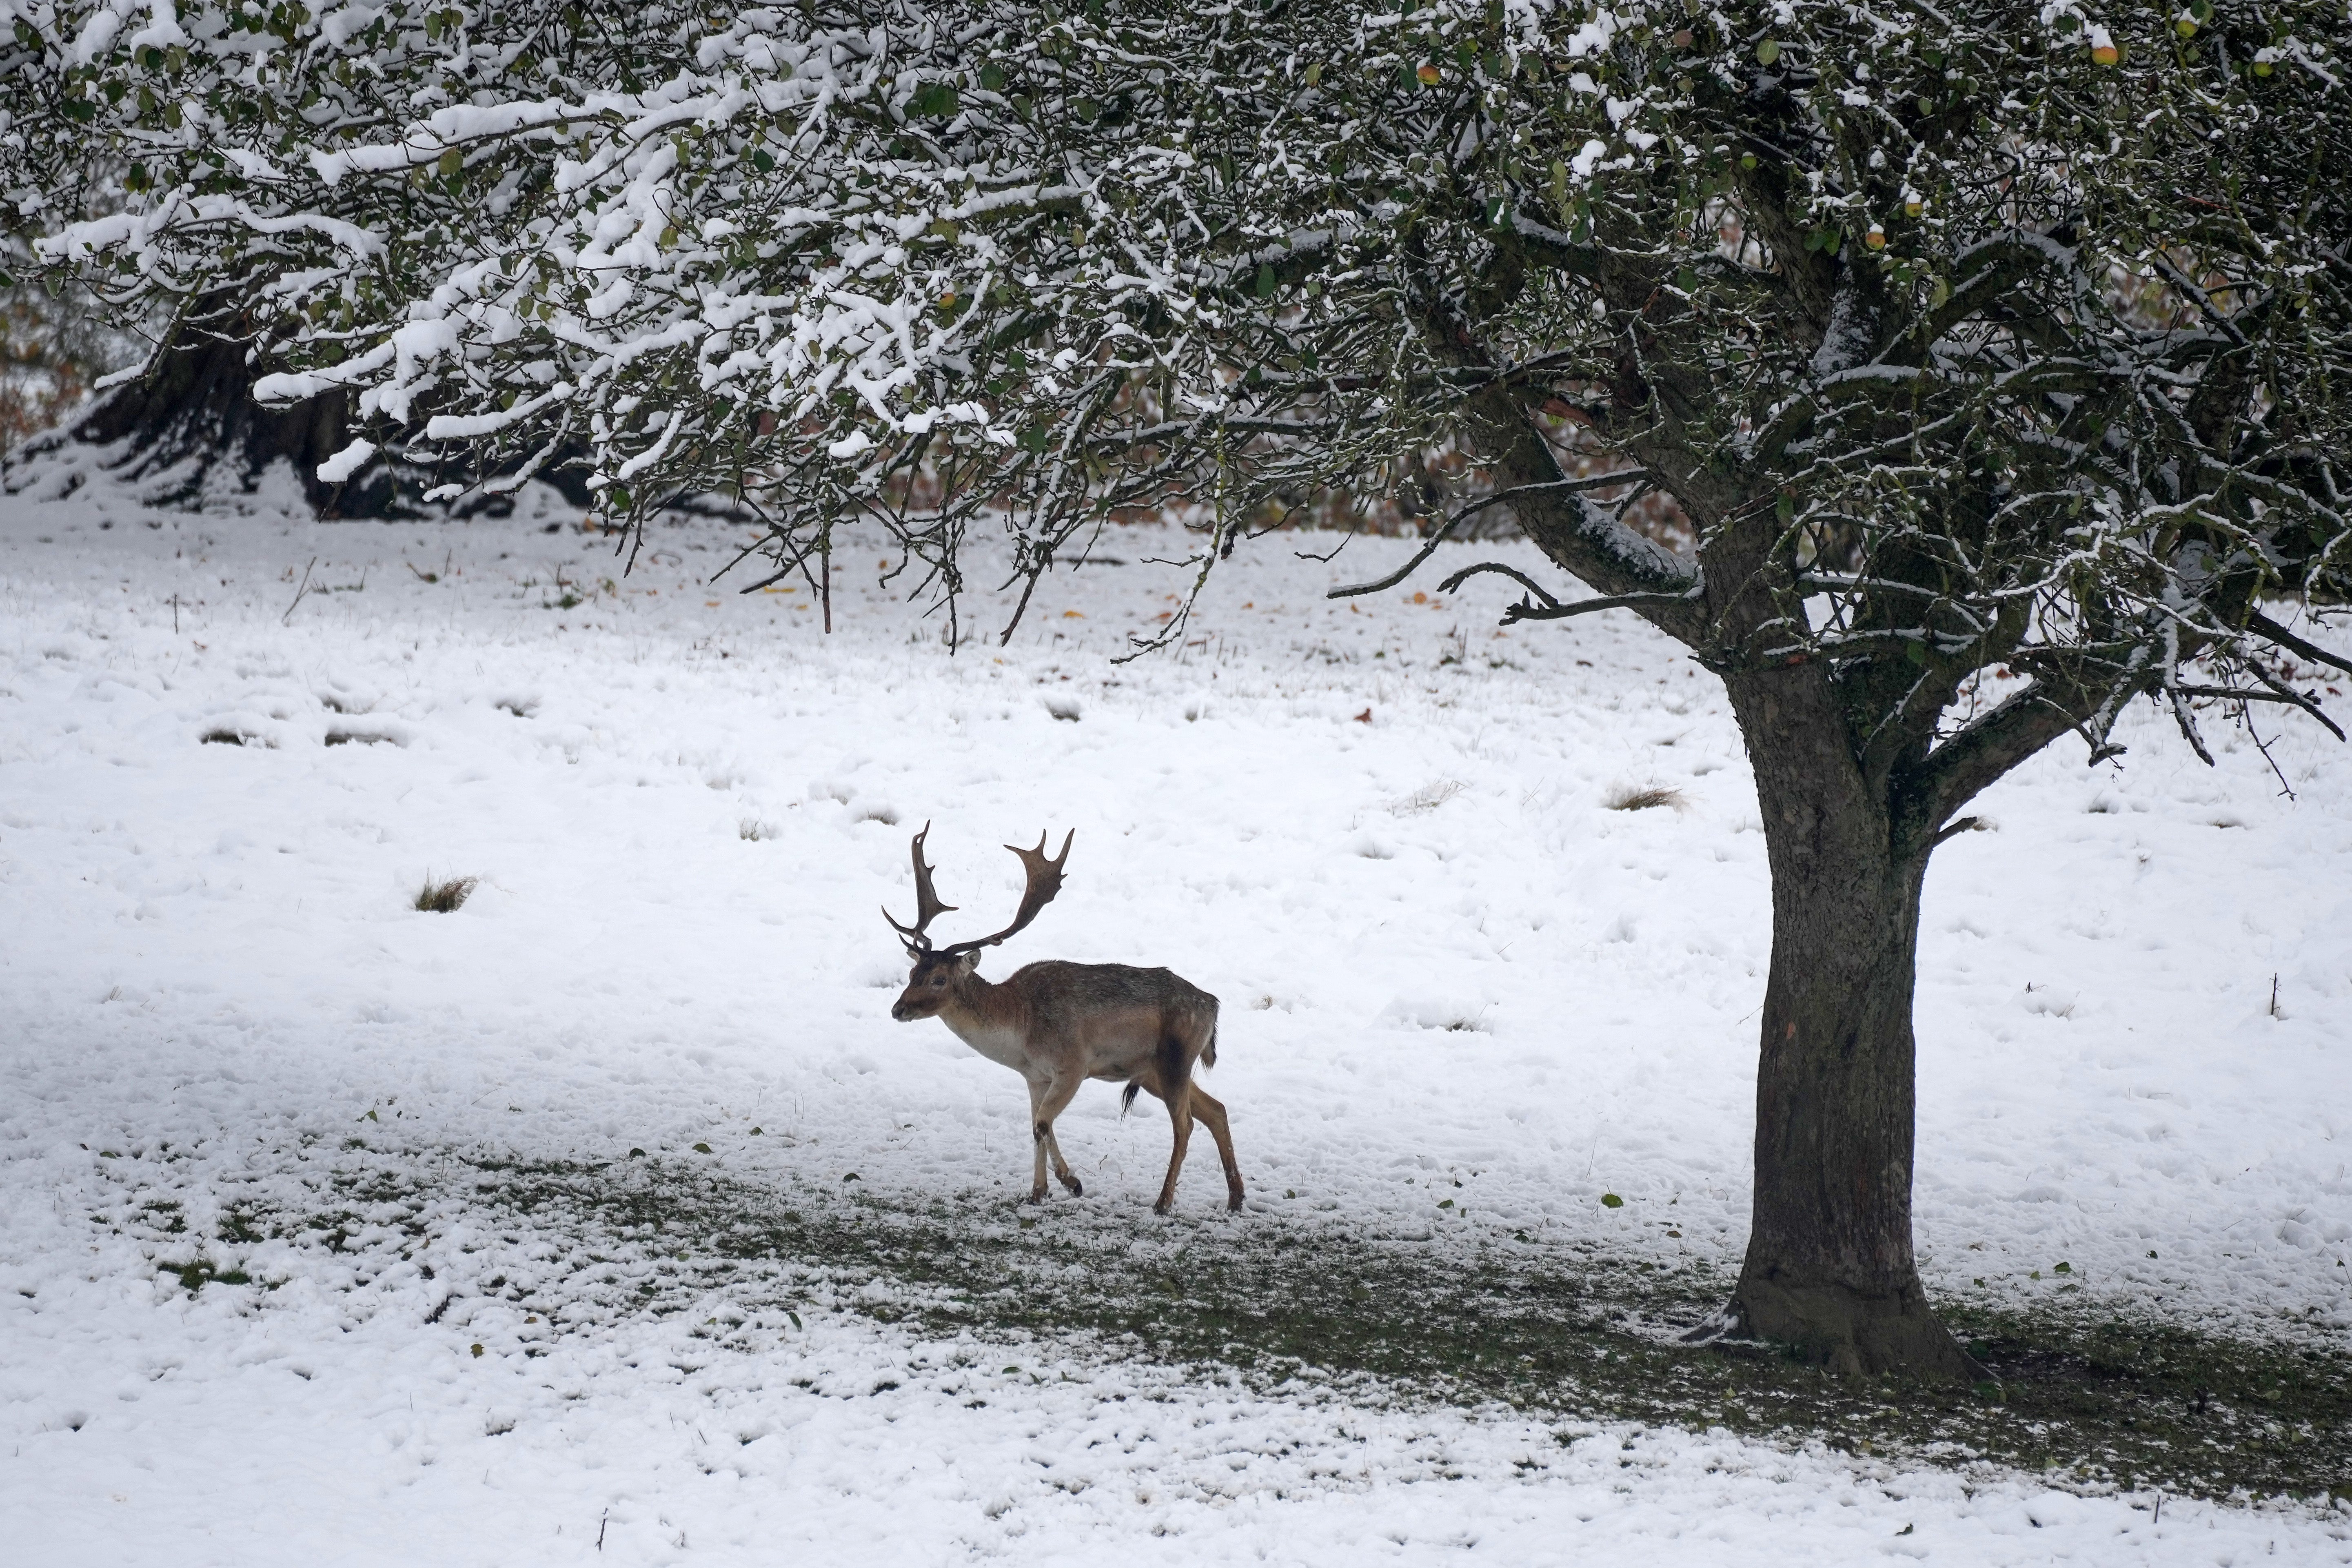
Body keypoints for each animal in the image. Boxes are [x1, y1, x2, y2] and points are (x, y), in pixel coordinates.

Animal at [884, 827, 1251, 1222]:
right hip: (1155, 1070)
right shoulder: (1034, 1077)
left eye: (939, 978)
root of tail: (1212, 1005)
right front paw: (1036, 1193)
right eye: (912, 973)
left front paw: (1072, 1183)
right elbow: (1034, 1126)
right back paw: (1235, 1199)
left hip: (1176, 1059)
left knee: (1185, 1125)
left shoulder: (1074, 1065)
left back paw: (1163, 1202)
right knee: (1217, 1110)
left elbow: (1044, 1122)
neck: (1022, 1029)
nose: (898, 1009)